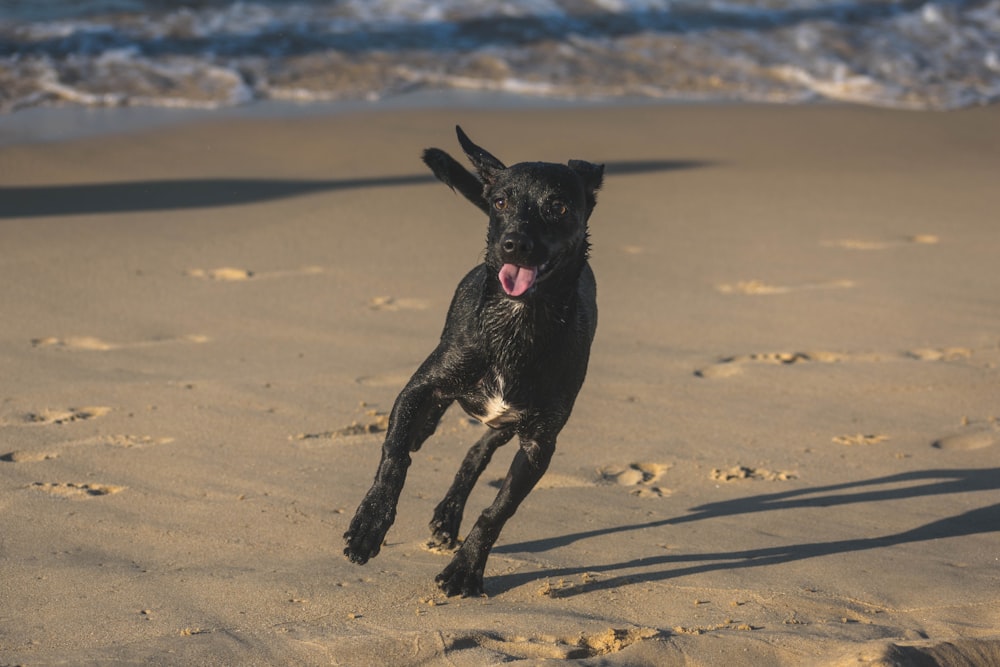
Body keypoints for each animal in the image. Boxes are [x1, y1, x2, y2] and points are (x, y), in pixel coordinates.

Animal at [344, 126, 600, 600]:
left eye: (557, 206)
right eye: (500, 202)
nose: (513, 243)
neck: (516, 322)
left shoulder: (539, 443)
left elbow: (497, 511)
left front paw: (465, 569)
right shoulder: (419, 387)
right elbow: (394, 456)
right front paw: (370, 525)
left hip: (508, 424)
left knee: (477, 452)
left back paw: (449, 515)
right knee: (425, 436)